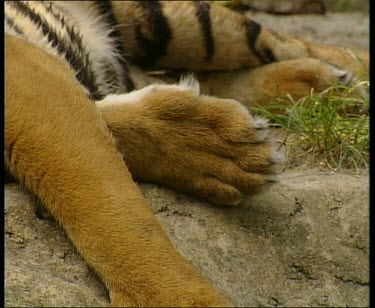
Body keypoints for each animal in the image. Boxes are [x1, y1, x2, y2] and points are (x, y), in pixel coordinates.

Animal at [5, 1, 370, 306]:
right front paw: (222, 151)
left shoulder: (26, 76)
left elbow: (111, 218)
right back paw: (323, 89)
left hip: (180, 25)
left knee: (302, 46)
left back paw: (341, 84)